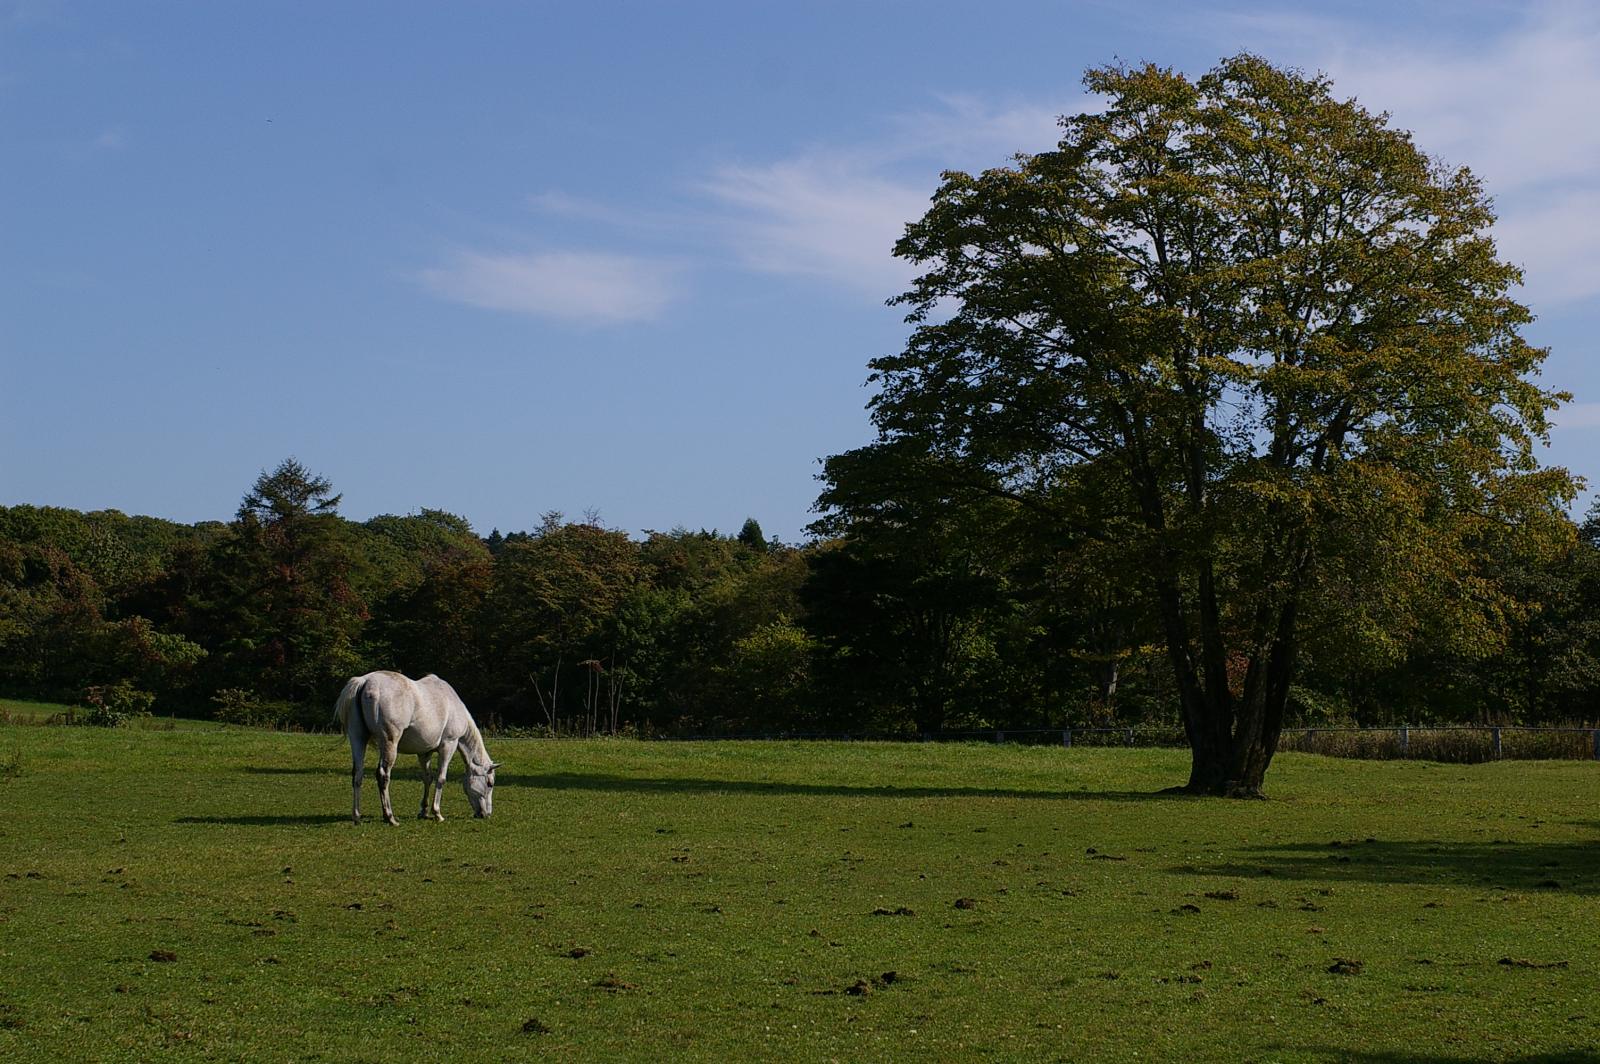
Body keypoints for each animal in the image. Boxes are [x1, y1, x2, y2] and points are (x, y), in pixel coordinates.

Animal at [331, 668, 492, 825]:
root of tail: (364, 681)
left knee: (357, 774)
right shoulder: (449, 745)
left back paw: (357, 816)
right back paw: (390, 817)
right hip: (389, 744)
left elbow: (428, 778)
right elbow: (441, 778)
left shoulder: (424, 753)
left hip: (358, 739)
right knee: (383, 775)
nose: (487, 814)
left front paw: (424, 811)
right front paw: (437, 813)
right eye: (489, 783)